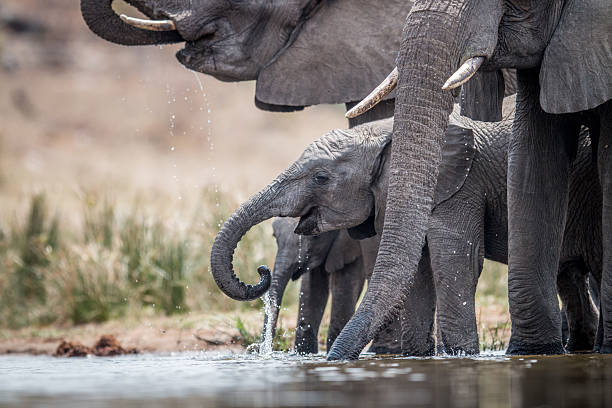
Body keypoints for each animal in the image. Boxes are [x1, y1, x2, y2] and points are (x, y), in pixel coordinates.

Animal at [209, 107, 596, 356]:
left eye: (321, 178)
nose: (260, 271)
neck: (388, 131)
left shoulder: (461, 188)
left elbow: (455, 262)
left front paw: (459, 357)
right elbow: (417, 270)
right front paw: (416, 358)